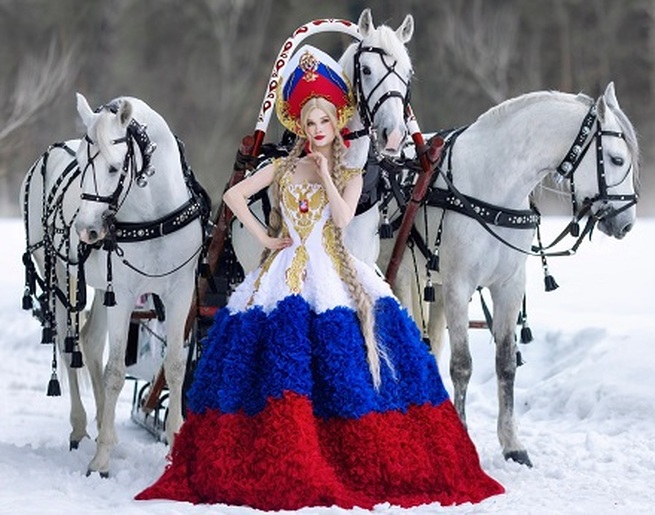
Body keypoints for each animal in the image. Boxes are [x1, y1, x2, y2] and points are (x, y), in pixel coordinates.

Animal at [20, 93, 210, 476]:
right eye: (80, 165)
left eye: (112, 167)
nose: (87, 230)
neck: (154, 215)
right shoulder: (122, 295)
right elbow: (116, 371)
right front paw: (101, 460)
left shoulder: (179, 291)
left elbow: (175, 365)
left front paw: (174, 445)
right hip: (62, 277)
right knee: (69, 346)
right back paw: (80, 428)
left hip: (98, 288)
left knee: (91, 342)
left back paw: (98, 422)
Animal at [377, 82, 639, 467]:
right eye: (618, 160)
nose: (627, 223)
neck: (492, 186)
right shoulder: (457, 286)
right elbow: (462, 365)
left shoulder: (508, 286)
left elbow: (505, 365)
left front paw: (513, 444)